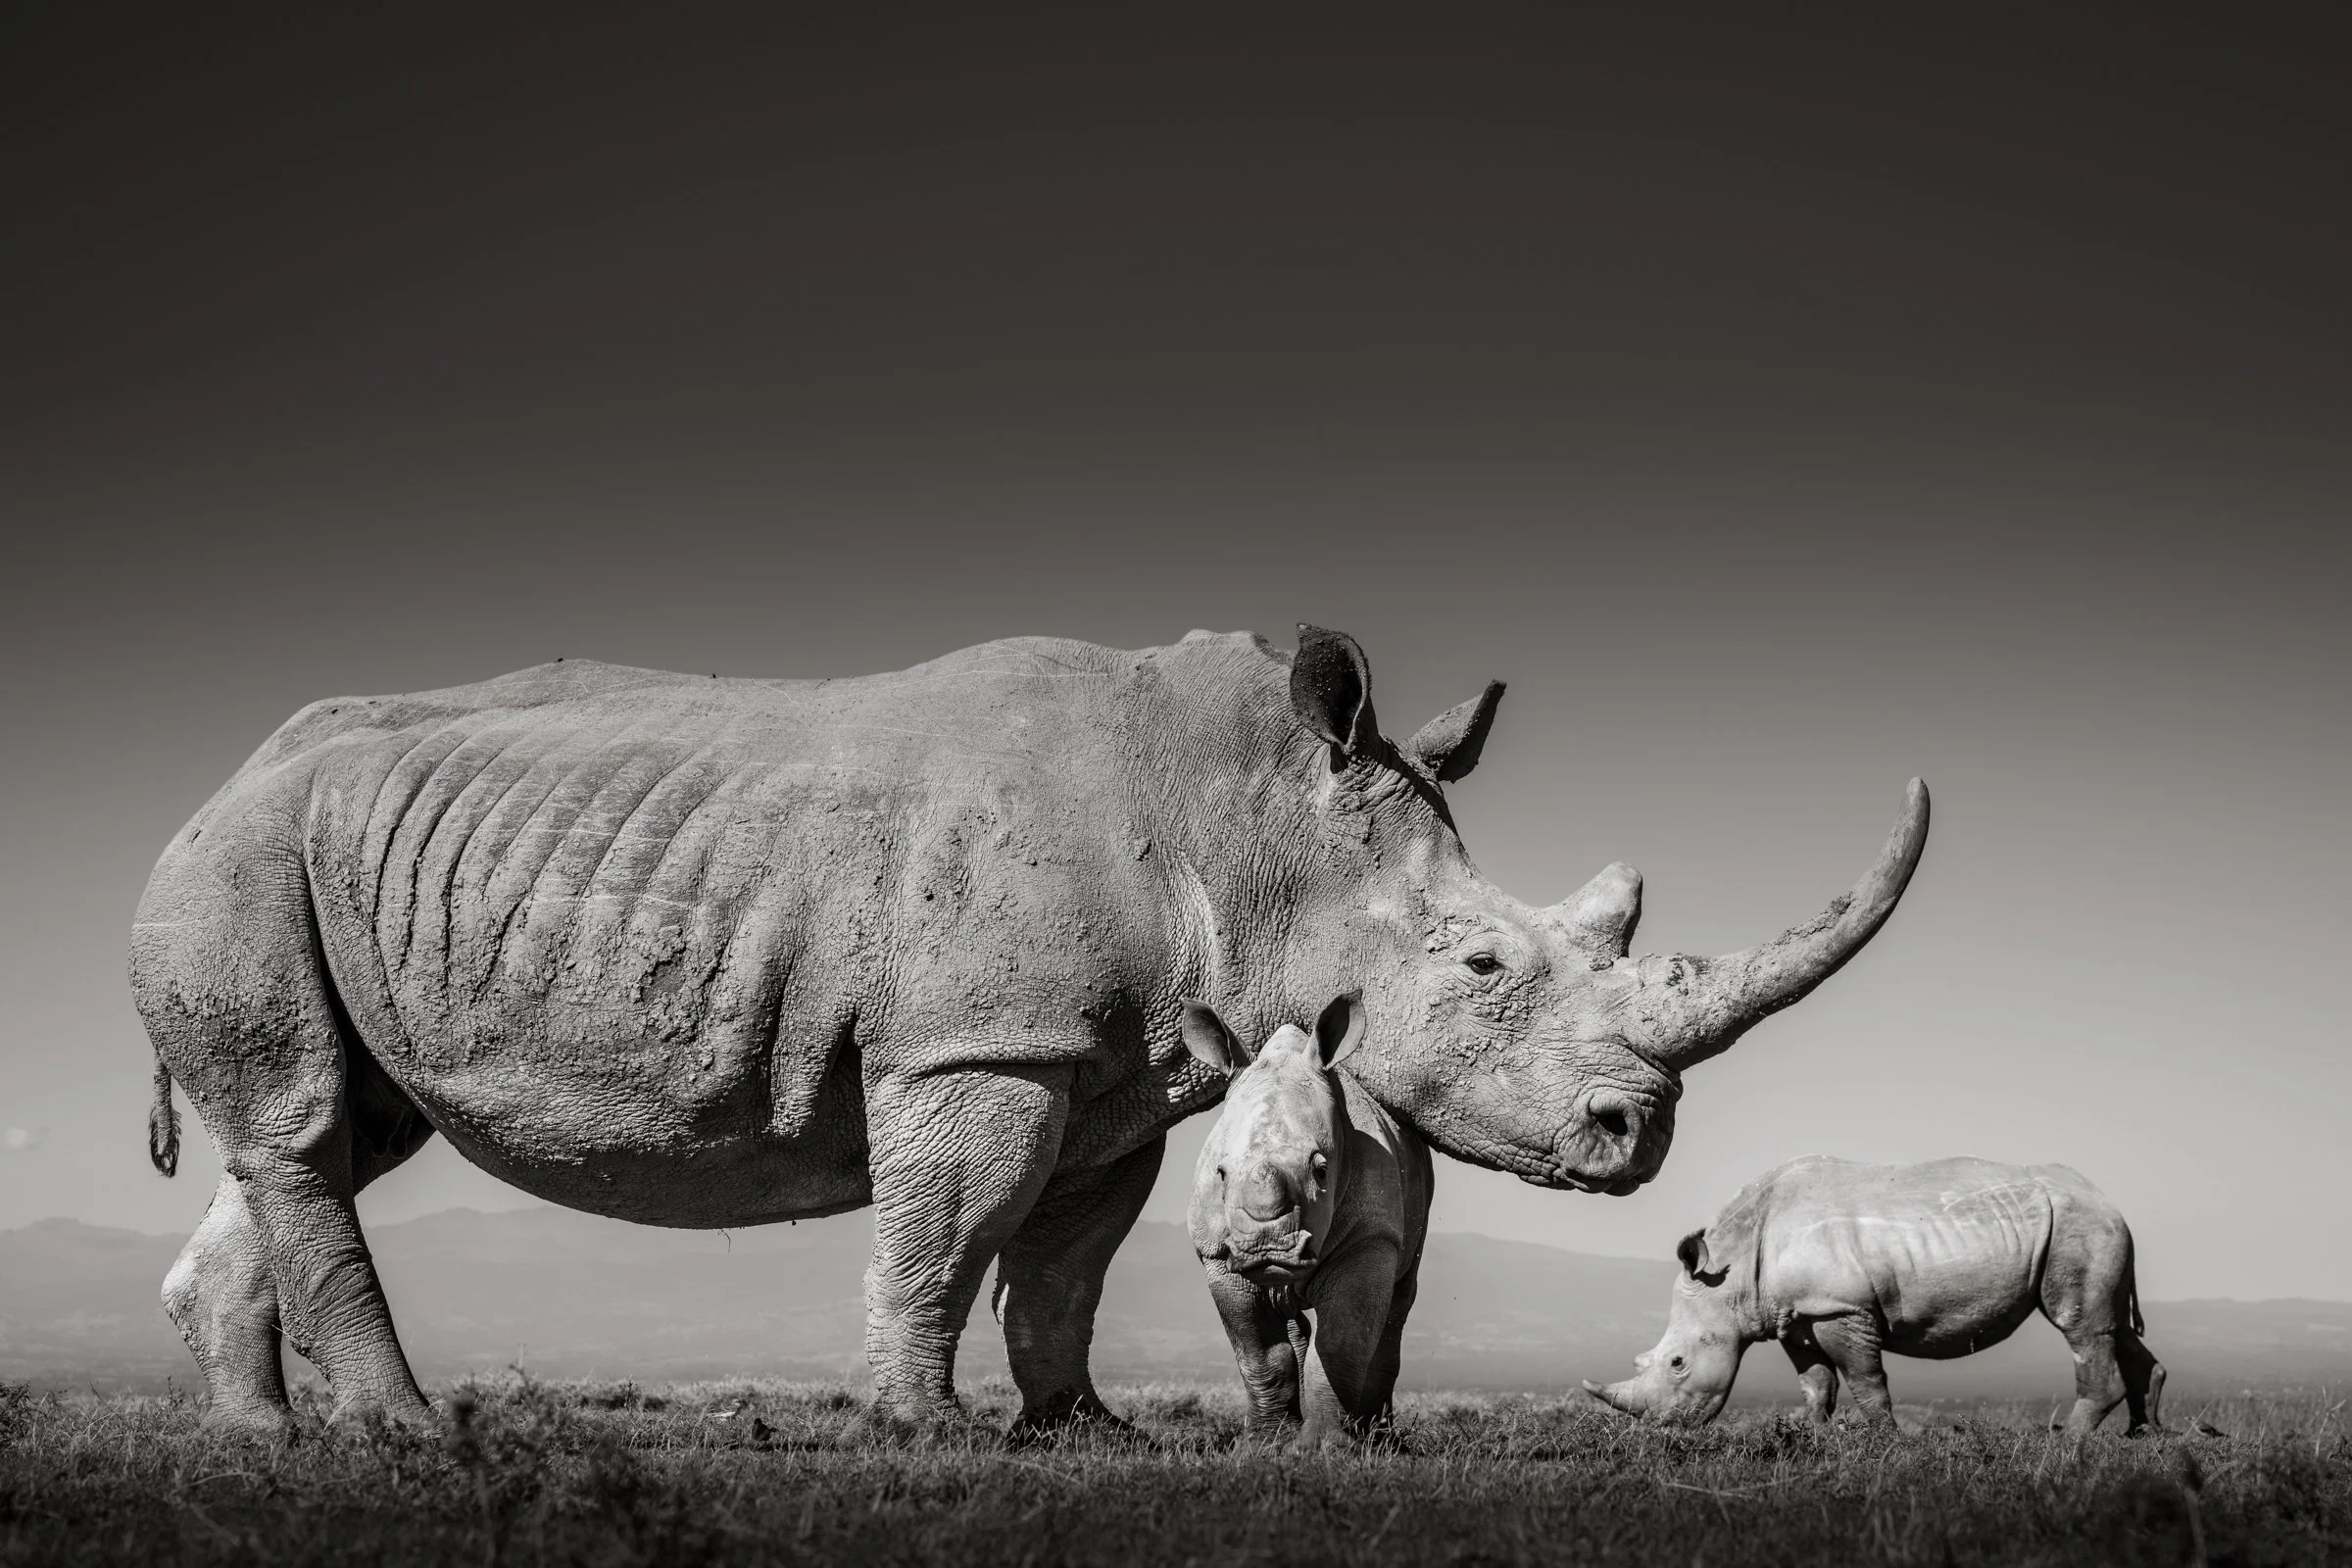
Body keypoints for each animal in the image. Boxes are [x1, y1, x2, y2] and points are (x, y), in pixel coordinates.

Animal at [1183, 993, 1430, 1449]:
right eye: (1220, 1174)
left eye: (1321, 1170)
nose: (1267, 1249)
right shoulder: (1216, 1255)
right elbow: (1259, 1355)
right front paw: (1264, 1443)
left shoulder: (1369, 1238)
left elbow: (1341, 1345)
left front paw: (1324, 1447)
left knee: (1397, 1306)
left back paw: (1379, 1439)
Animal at [1584, 1155, 2164, 1435]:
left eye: (1678, 1362)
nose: (1663, 1431)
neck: (1734, 1271)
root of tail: (2108, 1202)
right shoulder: (1796, 1315)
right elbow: (1816, 1384)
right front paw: (1816, 1439)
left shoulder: (1840, 1307)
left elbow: (1865, 1381)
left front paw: (1886, 1443)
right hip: (2087, 1227)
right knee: (2111, 1325)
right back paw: (2142, 1436)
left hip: (2077, 1228)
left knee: (2080, 1326)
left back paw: (2070, 1443)